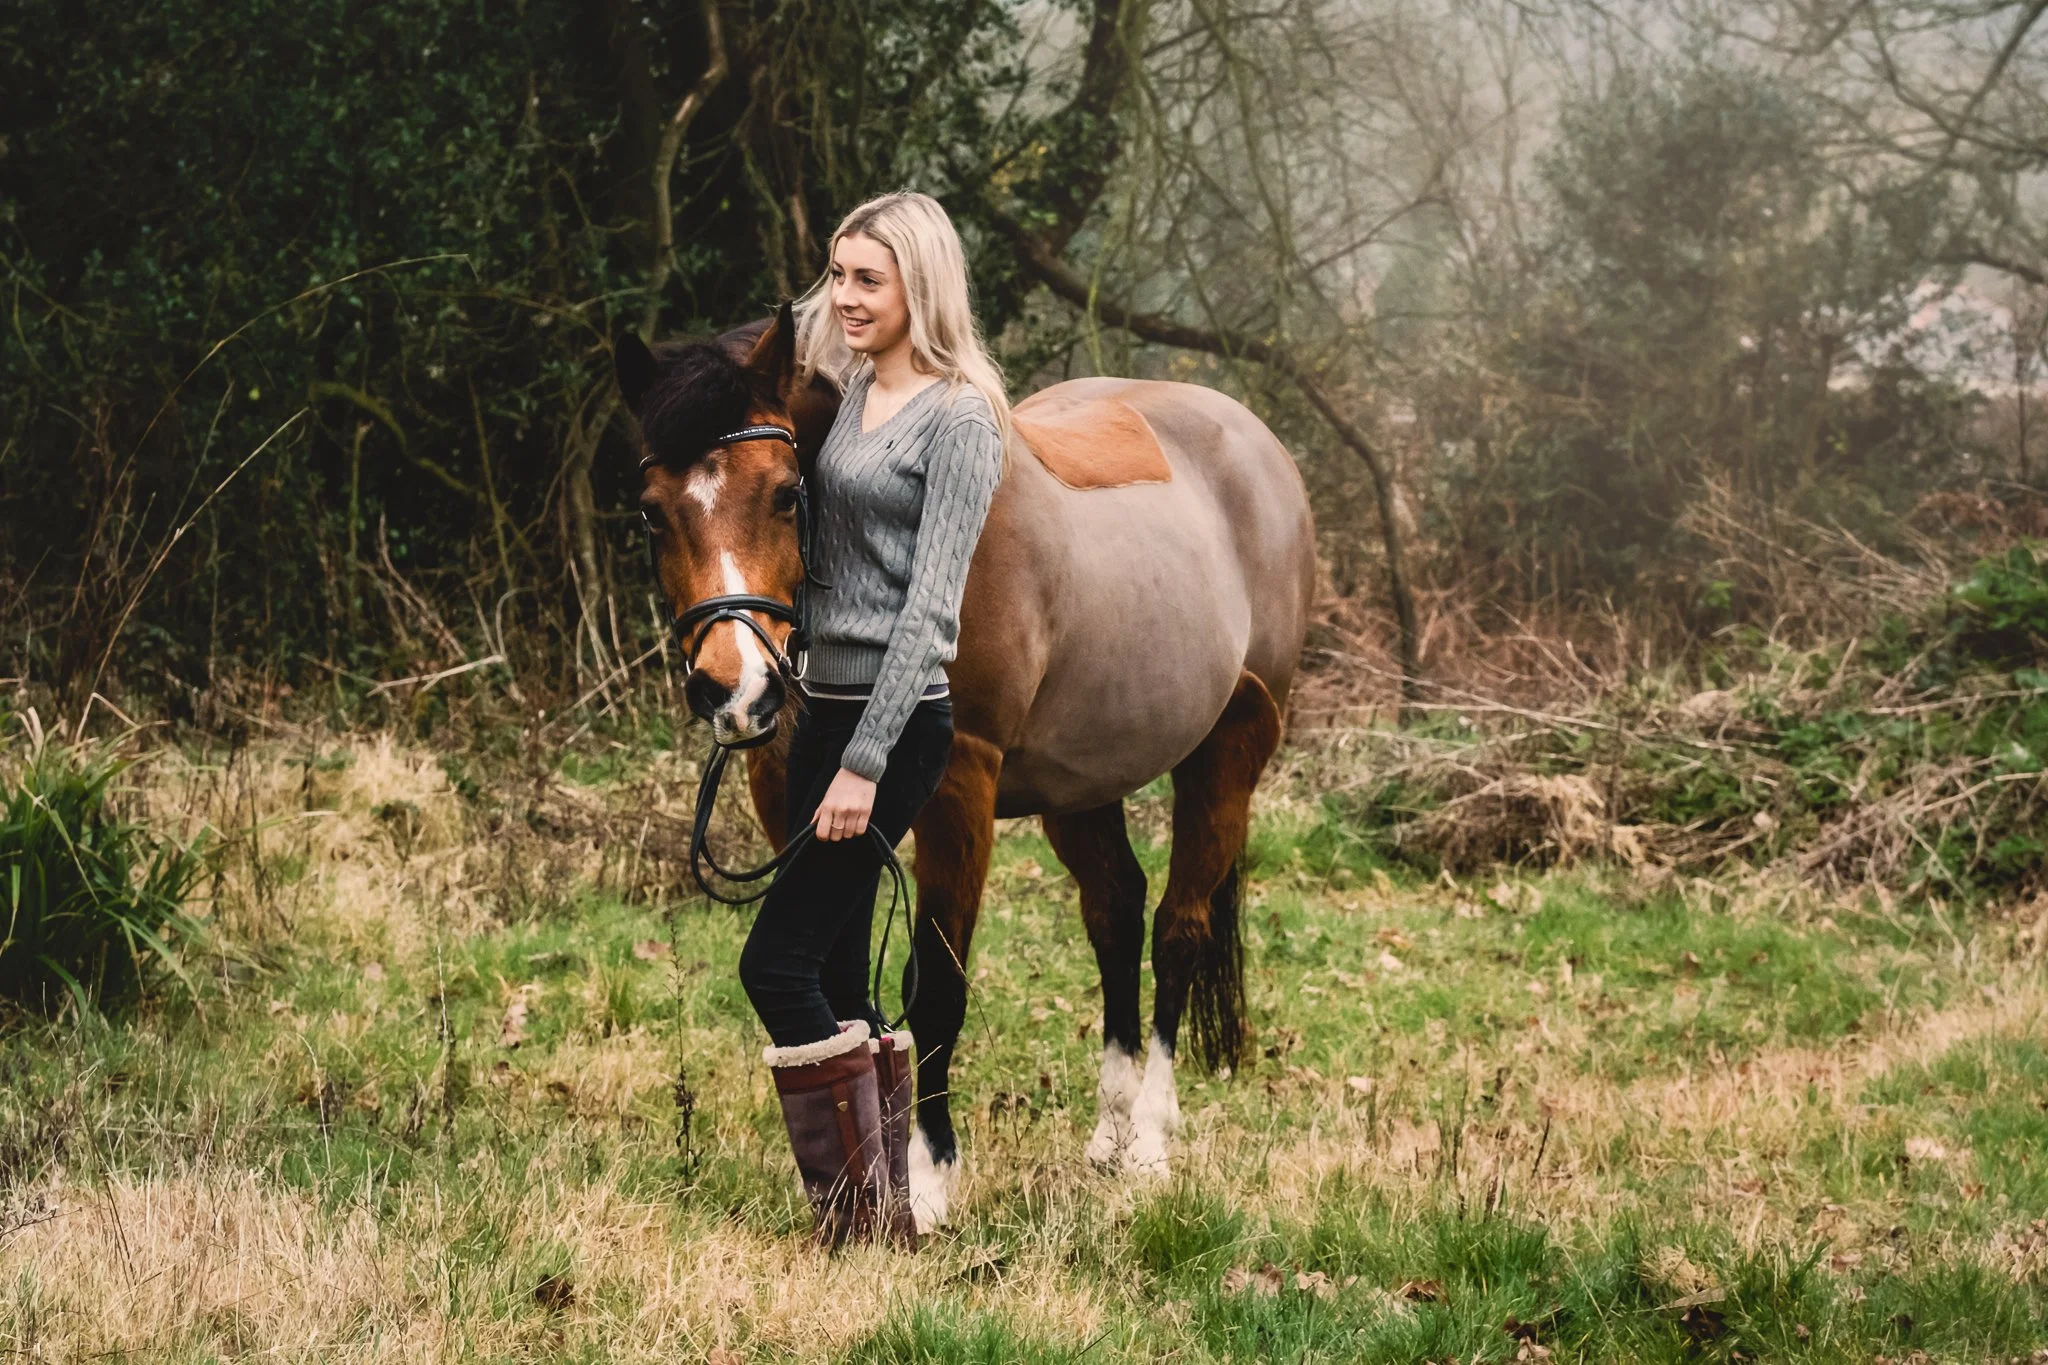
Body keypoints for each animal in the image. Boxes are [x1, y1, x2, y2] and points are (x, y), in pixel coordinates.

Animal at [618, 302, 1314, 1230]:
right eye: (653, 511)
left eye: (786, 491)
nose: (735, 686)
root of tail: (1257, 446)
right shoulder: (797, 801)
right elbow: (833, 981)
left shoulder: (958, 785)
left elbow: (935, 984)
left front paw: (929, 1173)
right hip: (1082, 782)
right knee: (1116, 914)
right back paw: (1109, 1131)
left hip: (1228, 751)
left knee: (1179, 929)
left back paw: (1150, 1140)